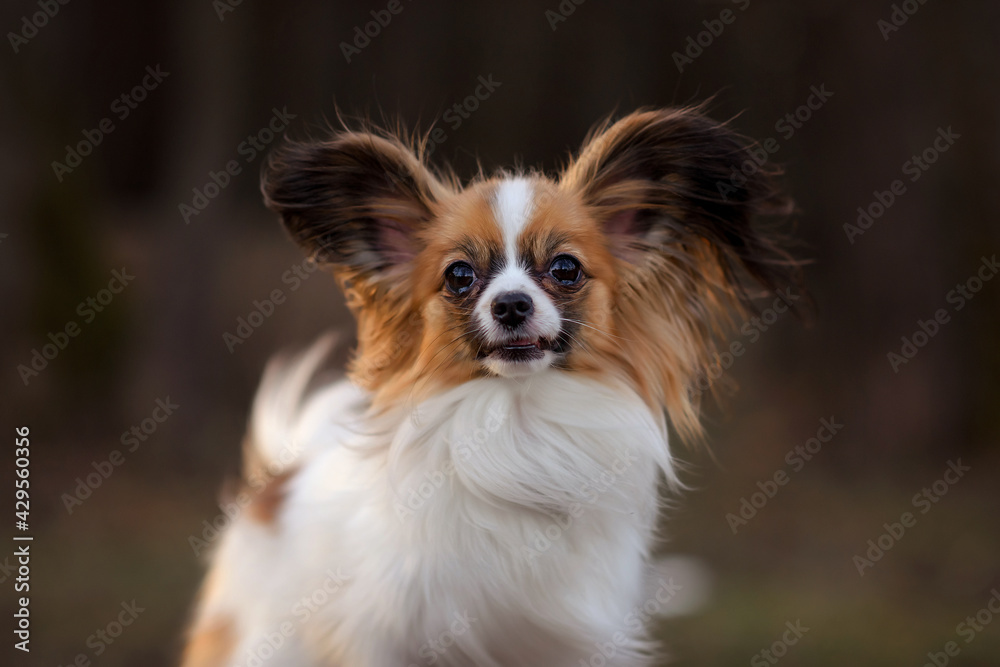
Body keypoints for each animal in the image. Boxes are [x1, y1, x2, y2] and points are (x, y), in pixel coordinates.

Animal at [182, 106, 801, 666]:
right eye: (460, 276)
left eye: (566, 269)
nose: (510, 305)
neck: (517, 425)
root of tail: (270, 484)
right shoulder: (380, 637)